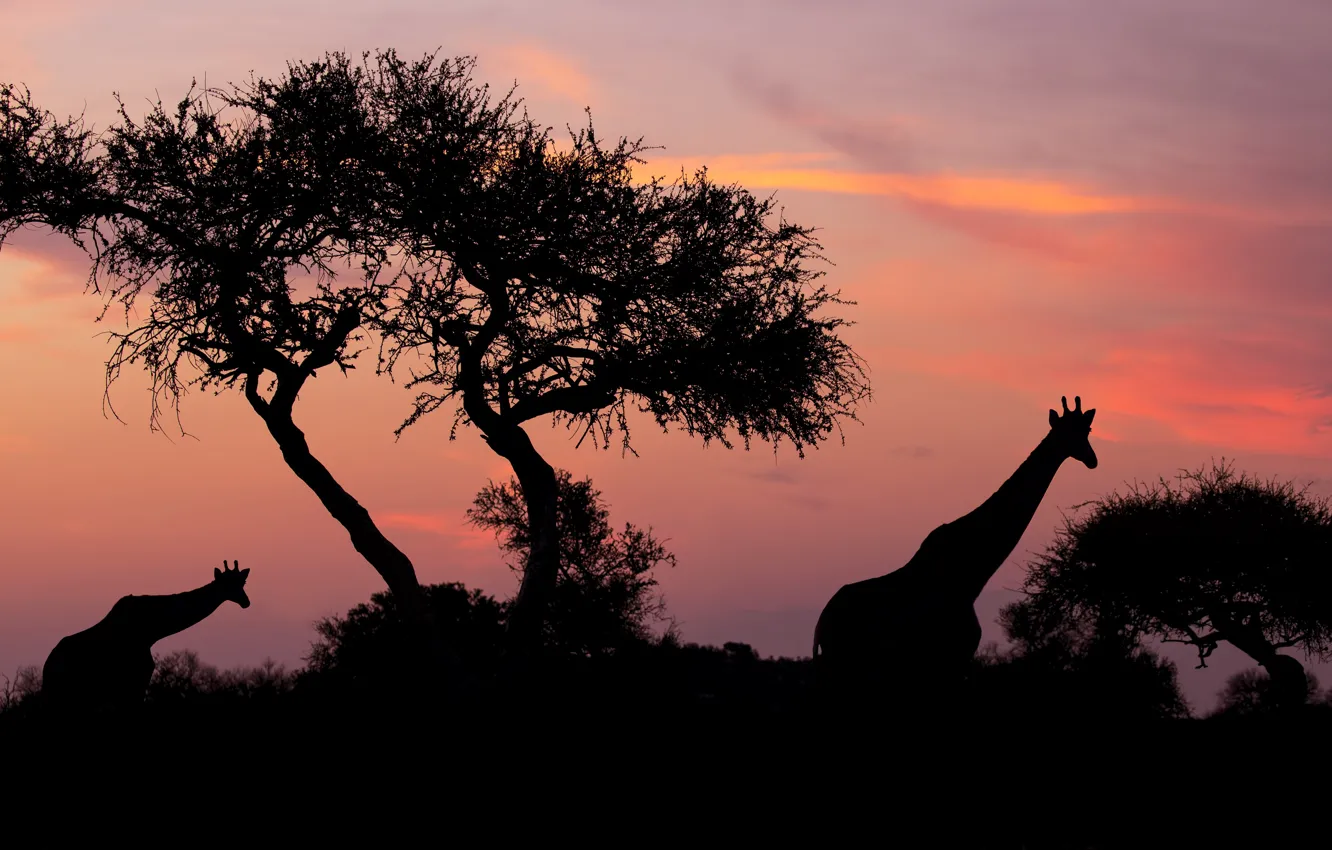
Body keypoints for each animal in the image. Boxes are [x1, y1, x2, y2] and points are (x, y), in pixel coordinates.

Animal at [40, 560, 251, 715]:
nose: (245, 602)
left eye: (243, 582)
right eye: (227, 584)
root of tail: (48, 665)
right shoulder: (131, 685)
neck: (150, 631)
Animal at [812, 396, 1097, 714]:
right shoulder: (951, 662)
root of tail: (821, 623)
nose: (1092, 459)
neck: (971, 575)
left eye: (1087, 429)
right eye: (1070, 432)